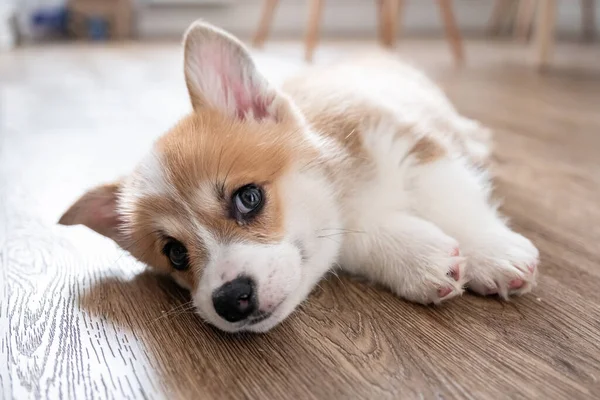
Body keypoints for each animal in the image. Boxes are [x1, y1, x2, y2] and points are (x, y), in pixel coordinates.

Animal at [59, 20, 540, 332]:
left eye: (248, 198)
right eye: (175, 254)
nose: (230, 301)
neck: (346, 185)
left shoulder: (412, 144)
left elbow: (454, 200)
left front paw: (495, 253)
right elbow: (360, 239)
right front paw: (421, 260)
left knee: (463, 131)